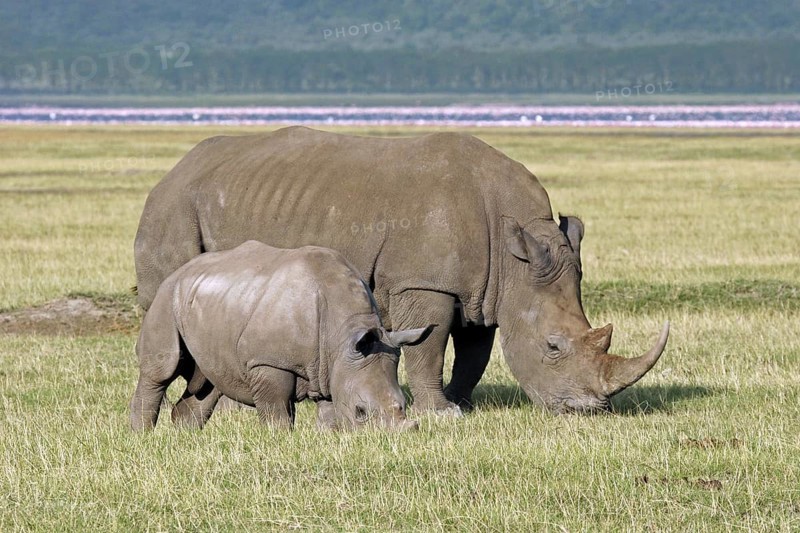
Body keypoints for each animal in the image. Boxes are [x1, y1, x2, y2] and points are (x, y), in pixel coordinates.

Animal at [130, 240, 428, 431]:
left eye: (405, 404)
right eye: (361, 412)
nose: (394, 436)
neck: (343, 333)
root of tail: (178, 272)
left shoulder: (333, 363)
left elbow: (330, 407)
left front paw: (330, 436)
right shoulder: (268, 361)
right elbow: (276, 409)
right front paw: (279, 438)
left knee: (208, 382)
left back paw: (185, 437)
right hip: (166, 298)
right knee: (162, 370)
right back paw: (143, 437)